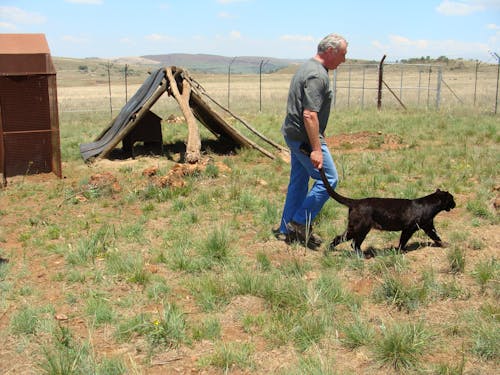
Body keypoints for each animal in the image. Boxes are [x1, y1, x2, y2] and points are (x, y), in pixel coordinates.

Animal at [318, 169, 456, 258]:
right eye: (452, 198)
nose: (455, 204)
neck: (431, 205)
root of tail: (356, 202)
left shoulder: (428, 226)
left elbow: (435, 236)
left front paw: (443, 244)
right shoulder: (410, 228)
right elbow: (405, 240)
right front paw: (400, 251)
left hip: (355, 229)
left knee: (342, 239)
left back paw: (330, 250)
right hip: (360, 229)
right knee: (353, 243)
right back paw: (362, 256)